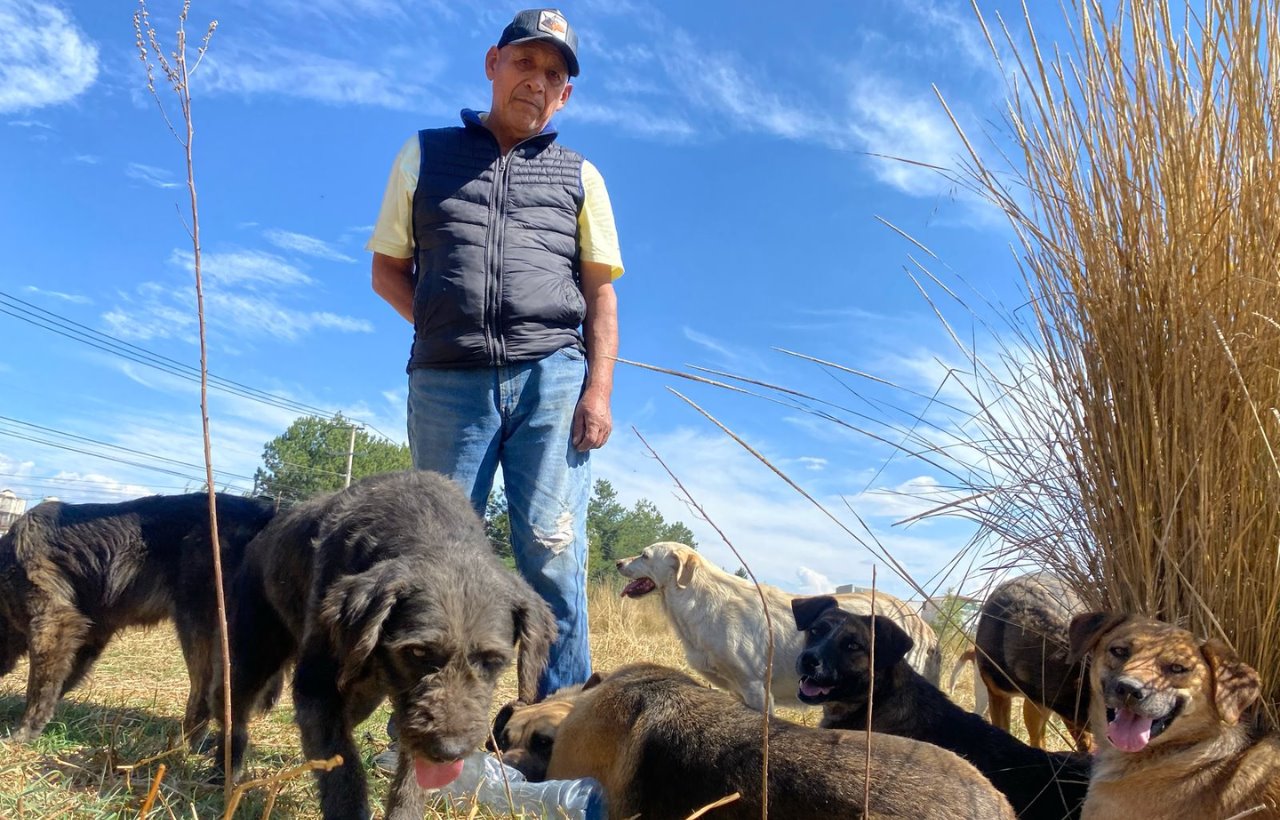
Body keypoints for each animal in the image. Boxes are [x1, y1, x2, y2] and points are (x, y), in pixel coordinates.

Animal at [218, 465, 555, 818]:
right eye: (418, 651)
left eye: (492, 660)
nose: (449, 752)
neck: (429, 528)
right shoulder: (317, 690)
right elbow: (343, 769)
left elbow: (409, 779)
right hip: (253, 656)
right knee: (232, 711)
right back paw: (225, 774)